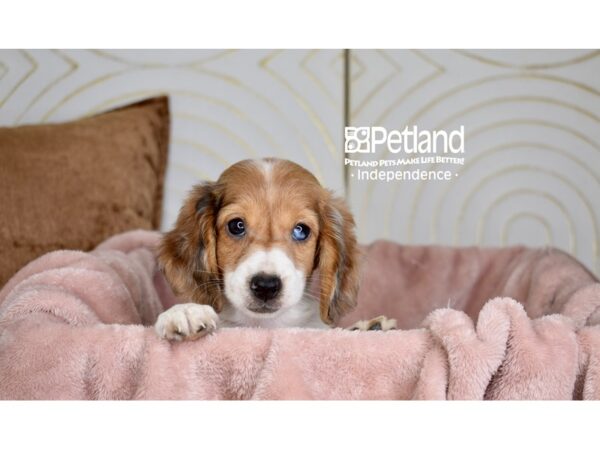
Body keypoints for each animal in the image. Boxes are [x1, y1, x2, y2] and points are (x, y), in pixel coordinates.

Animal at [154, 158, 394, 342]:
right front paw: (185, 311)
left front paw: (368, 328)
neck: (264, 325)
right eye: (236, 226)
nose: (266, 286)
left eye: (301, 230)